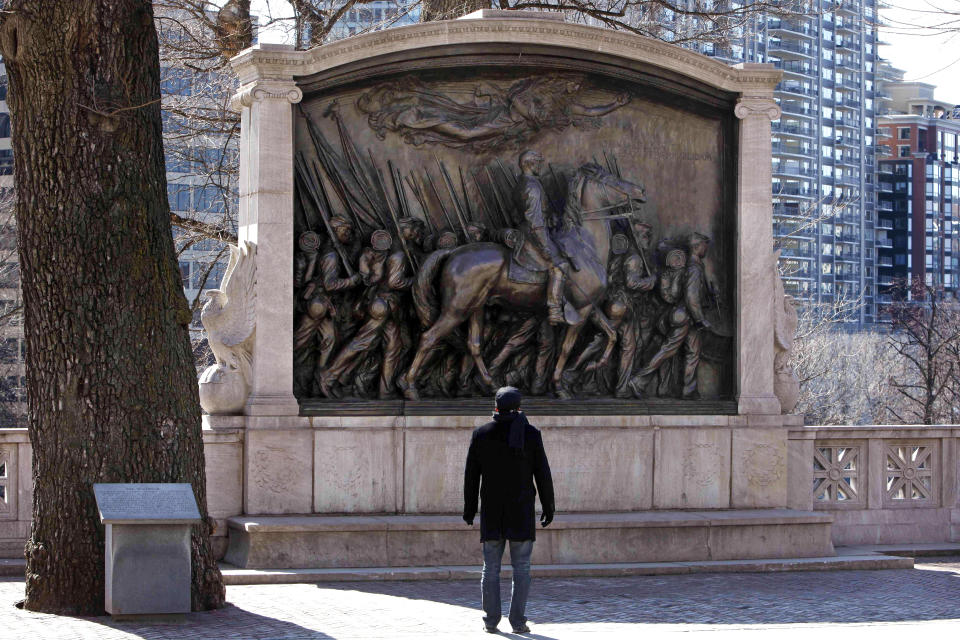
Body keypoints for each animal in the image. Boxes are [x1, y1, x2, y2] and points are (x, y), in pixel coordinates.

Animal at [398, 162, 644, 398]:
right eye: (612, 180)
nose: (640, 191)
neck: (586, 245)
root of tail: (453, 251)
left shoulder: (589, 307)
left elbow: (611, 333)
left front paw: (595, 364)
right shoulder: (580, 310)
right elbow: (567, 347)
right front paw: (559, 386)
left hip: (475, 307)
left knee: (474, 345)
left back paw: (489, 384)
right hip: (456, 309)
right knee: (428, 338)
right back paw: (410, 387)